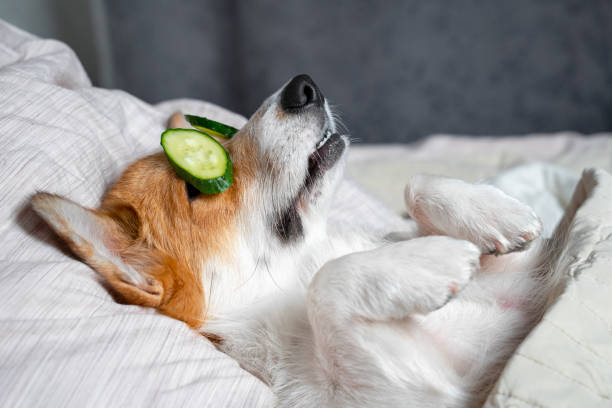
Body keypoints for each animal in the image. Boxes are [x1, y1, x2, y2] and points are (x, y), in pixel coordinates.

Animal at [29, 75, 564, 406]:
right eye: (195, 186)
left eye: (222, 135)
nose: (303, 86)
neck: (296, 268)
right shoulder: (419, 392)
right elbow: (327, 285)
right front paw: (433, 259)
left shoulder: (526, 283)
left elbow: (415, 187)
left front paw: (498, 213)